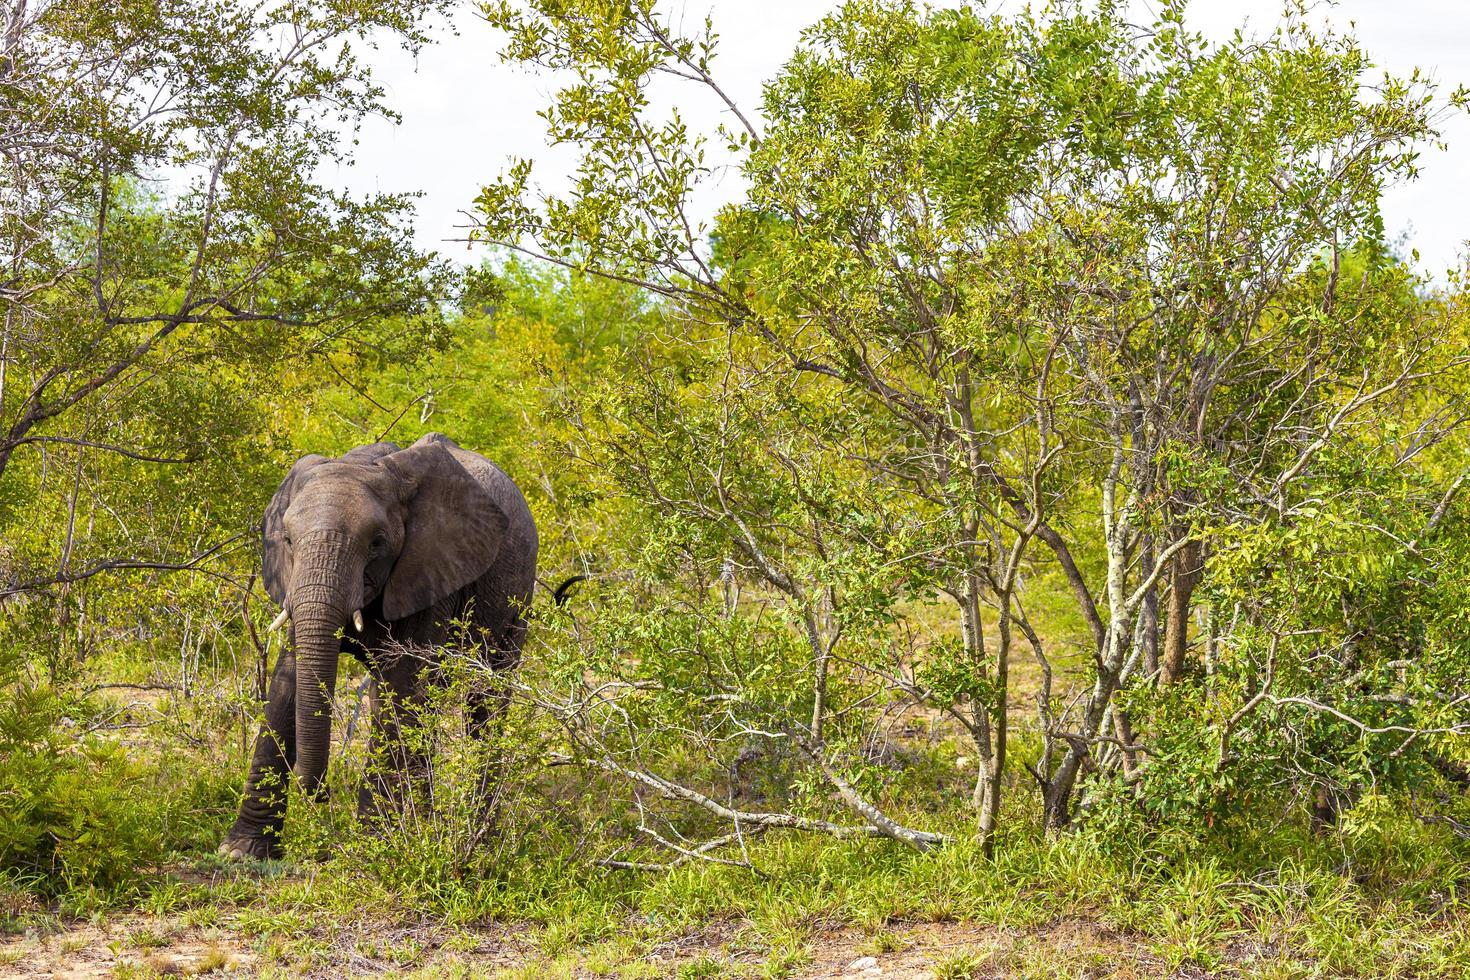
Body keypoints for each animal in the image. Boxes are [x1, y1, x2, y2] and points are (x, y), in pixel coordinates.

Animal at [217, 431, 540, 863]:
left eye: (377, 543)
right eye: (286, 540)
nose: (320, 793)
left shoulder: (431, 571)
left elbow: (401, 688)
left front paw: (375, 850)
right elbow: (287, 683)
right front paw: (241, 852)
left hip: (517, 597)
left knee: (484, 703)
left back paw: (477, 840)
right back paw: (427, 828)